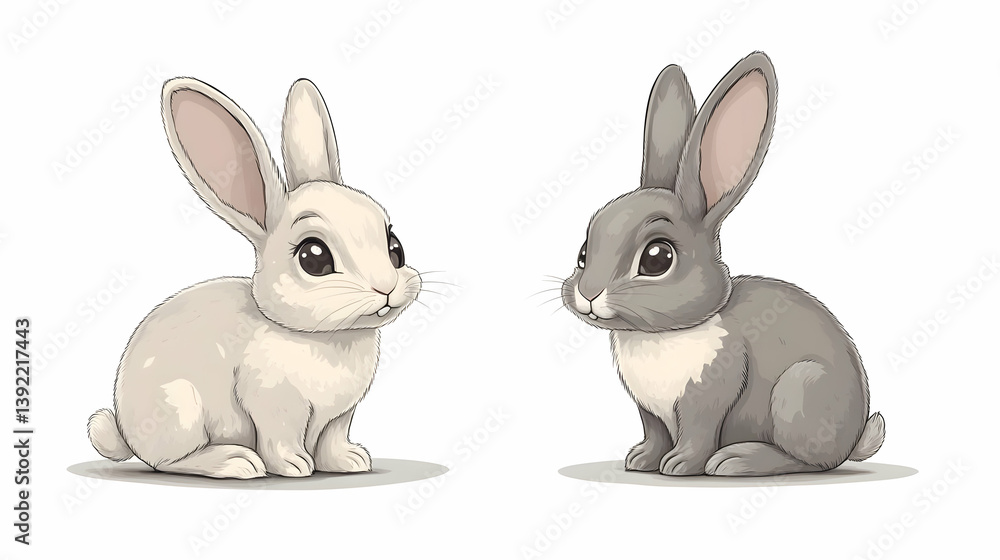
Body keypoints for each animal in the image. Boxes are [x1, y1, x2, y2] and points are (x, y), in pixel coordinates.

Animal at [87, 77, 421, 479]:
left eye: (395, 247)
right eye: (313, 257)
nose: (386, 287)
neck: (323, 338)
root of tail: (125, 432)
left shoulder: (340, 416)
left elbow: (333, 439)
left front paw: (350, 461)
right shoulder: (273, 405)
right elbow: (281, 439)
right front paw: (295, 466)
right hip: (182, 410)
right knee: (168, 462)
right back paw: (235, 462)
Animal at [560, 52, 885, 477]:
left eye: (657, 258)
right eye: (583, 252)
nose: (588, 294)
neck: (664, 334)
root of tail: (856, 436)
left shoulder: (709, 395)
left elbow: (697, 433)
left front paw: (678, 465)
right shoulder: (648, 411)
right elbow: (654, 432)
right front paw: (640, 460)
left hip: (798, 393)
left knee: (812, 461)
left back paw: (737, 460)